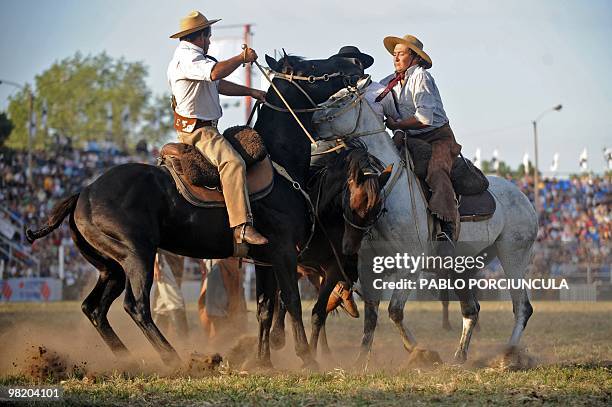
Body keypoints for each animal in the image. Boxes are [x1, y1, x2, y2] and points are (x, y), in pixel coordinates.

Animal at [26, 54, 366, 370]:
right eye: (312, 69)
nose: (352, 63)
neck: (279, 163)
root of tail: (83, 193)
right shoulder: (283, 252)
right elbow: (292, 301)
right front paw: (307, 359)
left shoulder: (265, 259)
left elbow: (265, 308)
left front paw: (263, 362)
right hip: (137, 256)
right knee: (136, 306)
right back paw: (174, 358)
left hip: (111, 266)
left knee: (93, 308)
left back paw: (128, 360)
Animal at [314, 78, 536, 364]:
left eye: (342, 98)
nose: (313, 118)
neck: (390, 190)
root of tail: (525, 199)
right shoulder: (368, 268)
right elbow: (371, 316)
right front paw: (361, 359)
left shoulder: (410, 266)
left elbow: (395, 311)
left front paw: (419, 351)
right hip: (462, 267)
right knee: (471, 310)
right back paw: (460, 355)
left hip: (513, 255)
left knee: (522, 307)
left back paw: (509, 355)